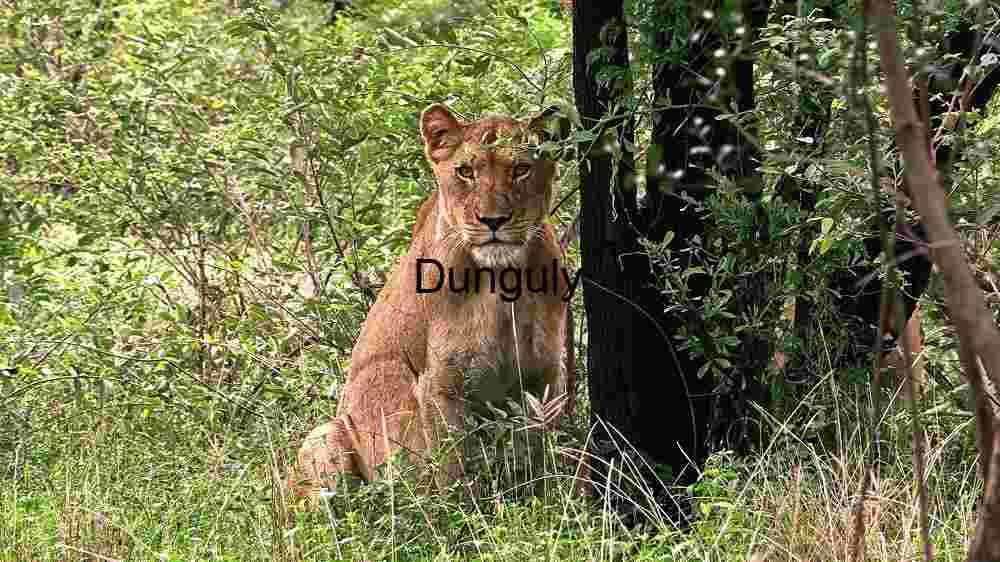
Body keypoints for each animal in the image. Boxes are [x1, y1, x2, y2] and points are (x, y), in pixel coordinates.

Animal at [290, 103, 576, 498]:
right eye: (465, 172)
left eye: (521, 169)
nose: (493, 221)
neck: (503, 282)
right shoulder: (440, 384)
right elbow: (454, 469)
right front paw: (461, 513)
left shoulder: (545, 372)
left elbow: (546, 454)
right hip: (324, 436)